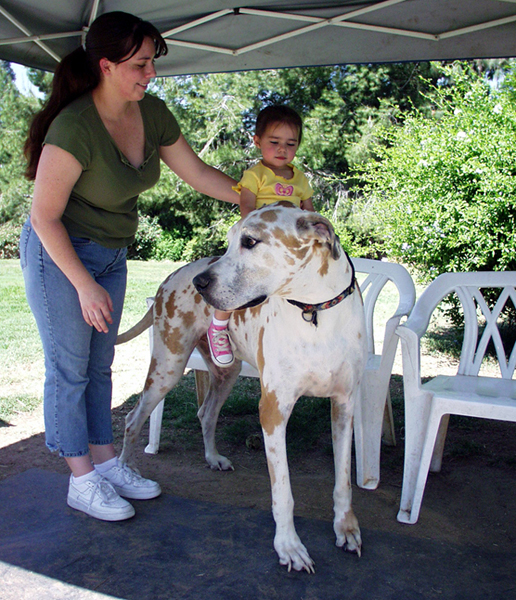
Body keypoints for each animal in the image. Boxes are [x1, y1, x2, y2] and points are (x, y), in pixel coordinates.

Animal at [118, 203, 366, 572]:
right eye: (229, 241)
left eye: (250, 241)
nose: (200, 283)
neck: (314, 314)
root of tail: (170, 277)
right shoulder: (273, 411)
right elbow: (283, 492)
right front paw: (288, 546)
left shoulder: (344, 405)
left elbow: (344, 481)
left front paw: (346, 527)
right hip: (167, 368)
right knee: (133, 419)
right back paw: (124, 471)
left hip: (226, 372)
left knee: (206, 412)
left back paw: (212, 457)